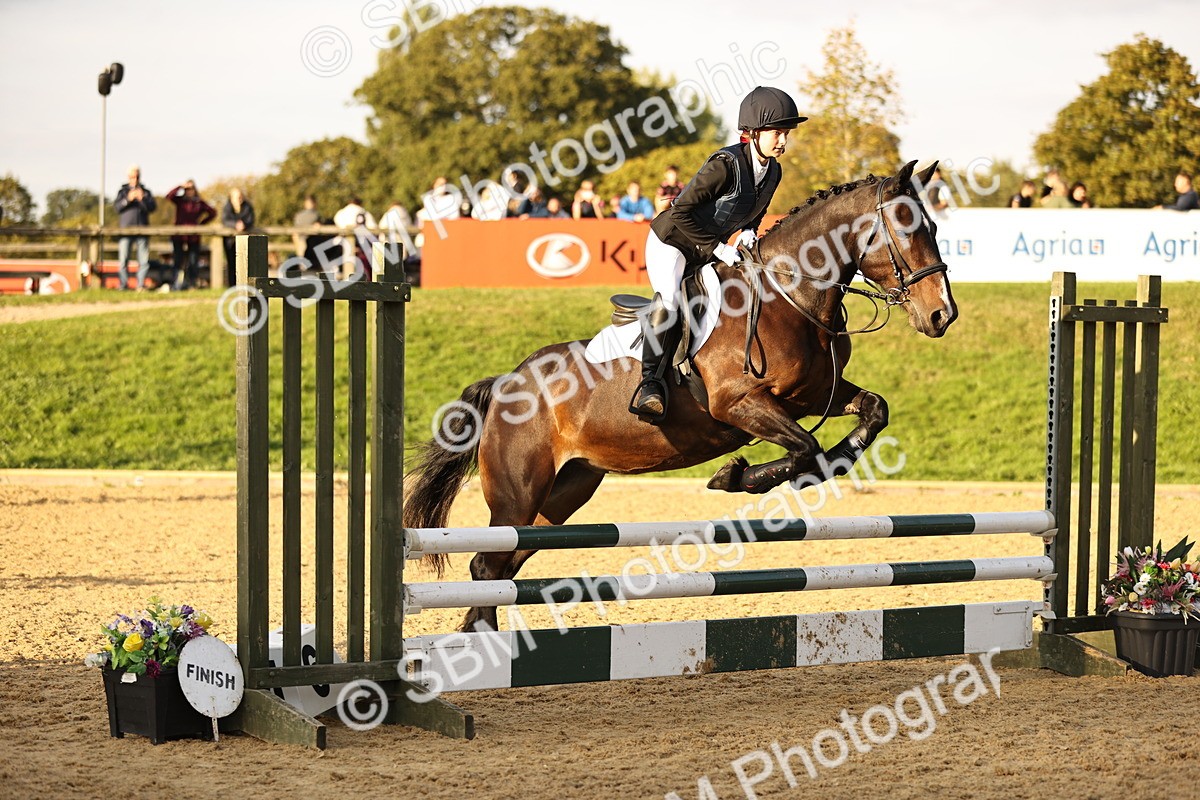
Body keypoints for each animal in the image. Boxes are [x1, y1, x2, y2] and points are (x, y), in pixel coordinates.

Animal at [404, 159, 958, 632]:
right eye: (908, 229)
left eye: (933, 228)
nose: (942, 315)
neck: (789, 295)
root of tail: (506, 383)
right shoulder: (738, 404)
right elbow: (804, 446)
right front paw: (734, 476)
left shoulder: (815, 395)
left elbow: (871, 412)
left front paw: (831, 463)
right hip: (518, 493)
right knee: (487, 563)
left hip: (562, 494)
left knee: (501, 565)